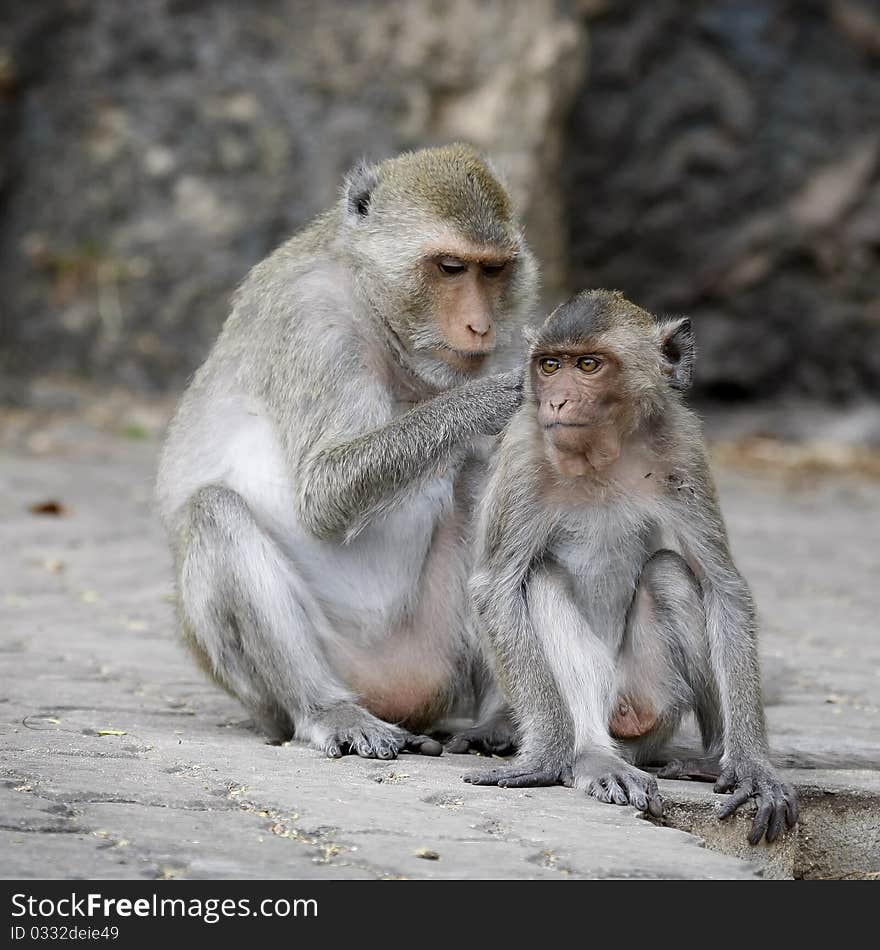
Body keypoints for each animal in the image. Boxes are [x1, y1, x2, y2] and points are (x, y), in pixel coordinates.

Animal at [157, 145, 536, 764]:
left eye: (494, 270)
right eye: (451, 268)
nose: (480, 326)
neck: (376, 313)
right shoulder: (312, 324)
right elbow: (323, 493)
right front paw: (492, 398)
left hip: (436, 652)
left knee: (480, 481)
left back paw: (501, 719)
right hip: (290, 681)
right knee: (215, 510)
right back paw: (326, 710)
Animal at [470, 292, 800, 848]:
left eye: (588, 365)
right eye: (550, 365)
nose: (557, 403)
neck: (601, 453)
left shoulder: (682, 446)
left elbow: (721, 584)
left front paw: (754, 767)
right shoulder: (524, 452)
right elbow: (498, 587)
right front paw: (544, 757)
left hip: (654, 702)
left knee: (669, 572)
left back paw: (711, 760)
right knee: (540, 578)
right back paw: (592, 756)